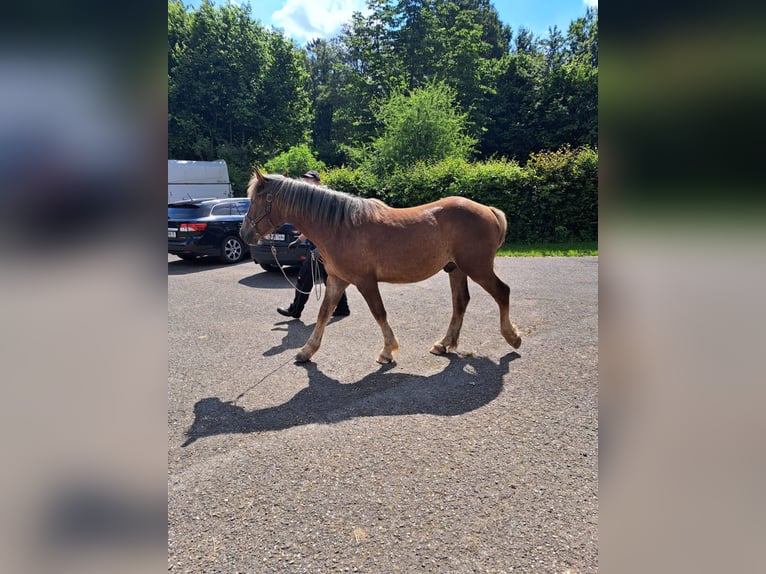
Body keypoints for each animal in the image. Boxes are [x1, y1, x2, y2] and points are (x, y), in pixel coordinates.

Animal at [243, 168, 524, 364]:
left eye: (255, 200)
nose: (244, 232)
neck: (340, 227)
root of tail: (488, 210)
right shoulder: (337, 280)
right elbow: (323, 314)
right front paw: (306, 351)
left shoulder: (365, 282)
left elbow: (379, 313)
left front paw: (388, 351)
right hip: (456, 269)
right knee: (460, 302)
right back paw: (444, 344)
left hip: (477, 268)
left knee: (502, 292)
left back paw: (512, 336)